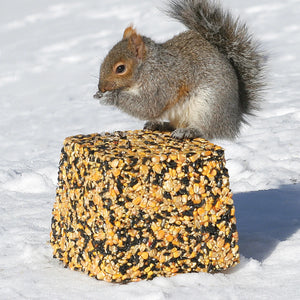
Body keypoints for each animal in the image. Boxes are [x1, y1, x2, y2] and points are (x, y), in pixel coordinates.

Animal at [94, 0, 264, 141]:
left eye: (120, 68)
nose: (101, 87)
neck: (148, 67)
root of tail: (234, 120)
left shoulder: (162, 82)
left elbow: (149, 106)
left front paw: (110, 97)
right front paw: (98, 95)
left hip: (208, 108)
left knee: (209, 132)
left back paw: (189, 131)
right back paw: (160, 125)